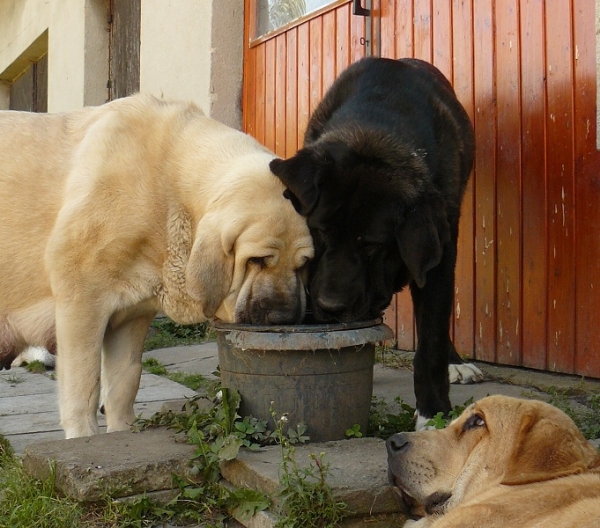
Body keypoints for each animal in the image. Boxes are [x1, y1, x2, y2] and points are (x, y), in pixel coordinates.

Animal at [2, 94, 314, 438]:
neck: (170, 190)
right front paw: (83, 439)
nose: (283, 317)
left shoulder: (131, 316)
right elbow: (83, 386)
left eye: (303, 265)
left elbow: (124, 383)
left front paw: (122, 432)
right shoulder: (81, 303)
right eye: (257, 260)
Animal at [270, 56, 480, 428]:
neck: (374, 130)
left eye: (371, 245)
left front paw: (433, 413)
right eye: (319, 232)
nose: (331, 306)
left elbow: (432, 338)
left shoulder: (439, 252)